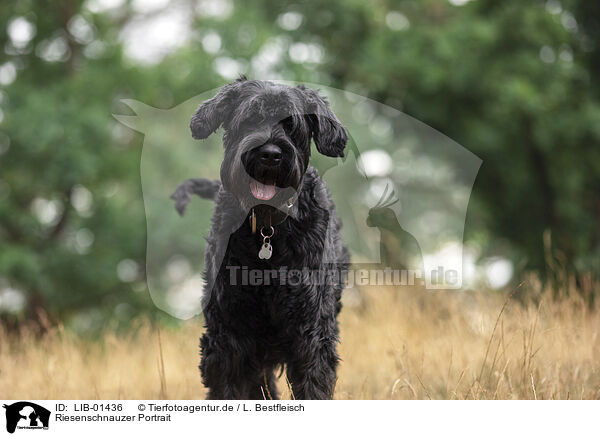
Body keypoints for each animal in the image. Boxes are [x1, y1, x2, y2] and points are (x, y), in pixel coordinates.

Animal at [173, 77, 350, 398]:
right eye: (250, 119)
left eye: (291, 125)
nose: (269, 154)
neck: (268, 230)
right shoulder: (229, 329)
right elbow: (227, 385)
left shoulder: (311, 327)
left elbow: (313, 382)